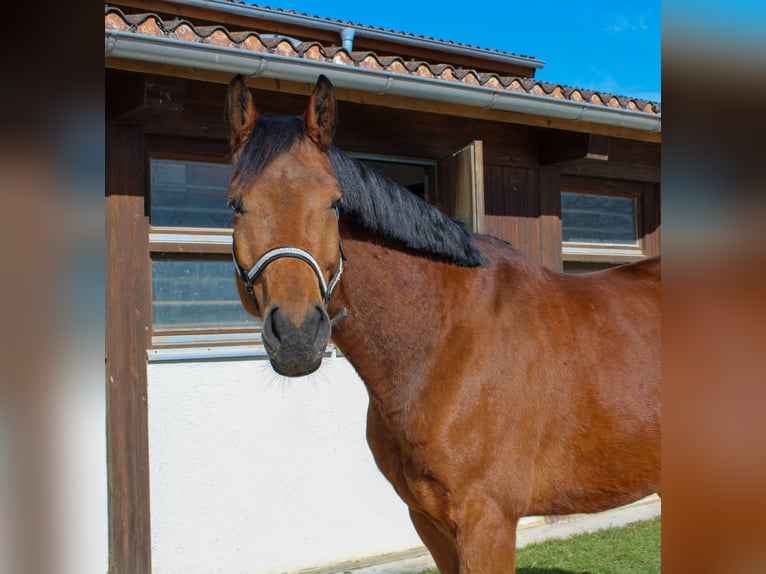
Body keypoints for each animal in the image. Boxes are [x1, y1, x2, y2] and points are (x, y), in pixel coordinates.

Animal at [224, 74, 661, 573]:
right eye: (235, 204)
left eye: (334, 204)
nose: (298, 336)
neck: (443, 343)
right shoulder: (428, 521)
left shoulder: (486, 522)